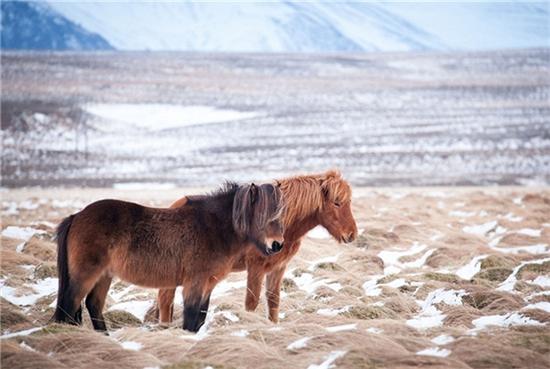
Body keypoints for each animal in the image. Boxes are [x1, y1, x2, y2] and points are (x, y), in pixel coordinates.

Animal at [52, 183, 284, 332]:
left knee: (93, 304)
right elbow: (191, 318)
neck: (212, 228)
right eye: (262, 216)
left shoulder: (208, 285)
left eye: (280, 214)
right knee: (70, 304)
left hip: (104, 275)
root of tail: (76, 216)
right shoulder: (194, 283)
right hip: (86, 274)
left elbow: (200, 318)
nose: (277, 244)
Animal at [153, 170, 358, 322]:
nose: (351, 235)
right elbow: (251, 303)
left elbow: (273, 300)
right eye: (337, 203)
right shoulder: (256, 268)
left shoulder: (278, 268)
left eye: (348, 202)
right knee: (165, 298)